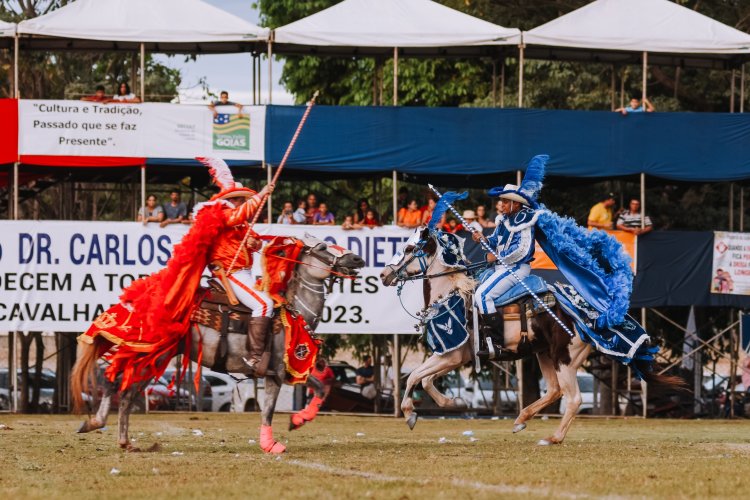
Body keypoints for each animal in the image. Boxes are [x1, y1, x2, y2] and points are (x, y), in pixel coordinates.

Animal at [71, 234, 364, 454]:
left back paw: (123, 440)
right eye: (323, 247)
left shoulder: (291, 369)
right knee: (115, 383)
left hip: (155, 356)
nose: (358, 258)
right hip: (147, 351)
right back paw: (96, 423)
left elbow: (323, 386)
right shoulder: (277, 372)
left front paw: (297, 420)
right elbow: (269, 411)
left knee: (127, 393)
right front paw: (271, 444)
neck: (294, 312)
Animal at [382, 229, 680, 444]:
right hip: (544, 354)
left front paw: (409, 414)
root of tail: (590, 313)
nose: (385, 274)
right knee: (554, 390)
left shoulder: (451, 355)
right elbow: (424, 378)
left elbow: (414, 376)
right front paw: (451, 402)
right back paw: (521, 419)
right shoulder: (453, 357)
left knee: (573, 399)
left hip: (564, 358)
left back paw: (553, 438)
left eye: (409, 249)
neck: (452, 295)